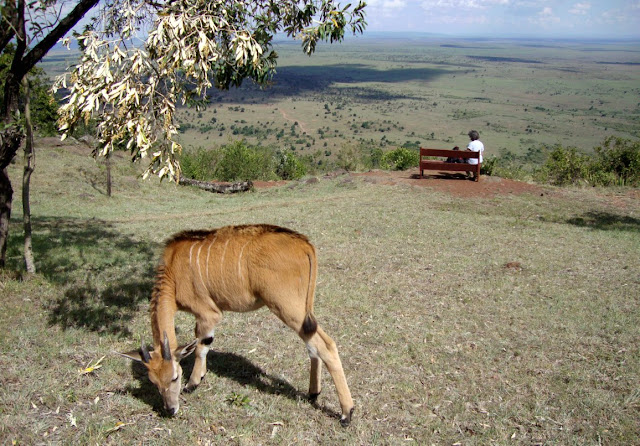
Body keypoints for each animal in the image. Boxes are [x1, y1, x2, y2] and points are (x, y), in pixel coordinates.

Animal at [120, 224, 354, 426]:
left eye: (175, 377)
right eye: (154, 382)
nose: (170, 409)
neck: (173, 272)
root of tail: (304, 244)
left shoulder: (208, 314)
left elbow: (201, 346)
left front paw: (193, 384)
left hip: (287, 309)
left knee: (326, 345)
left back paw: (346, 413)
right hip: (305, 311)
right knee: (313, 345)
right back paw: (313, 393)